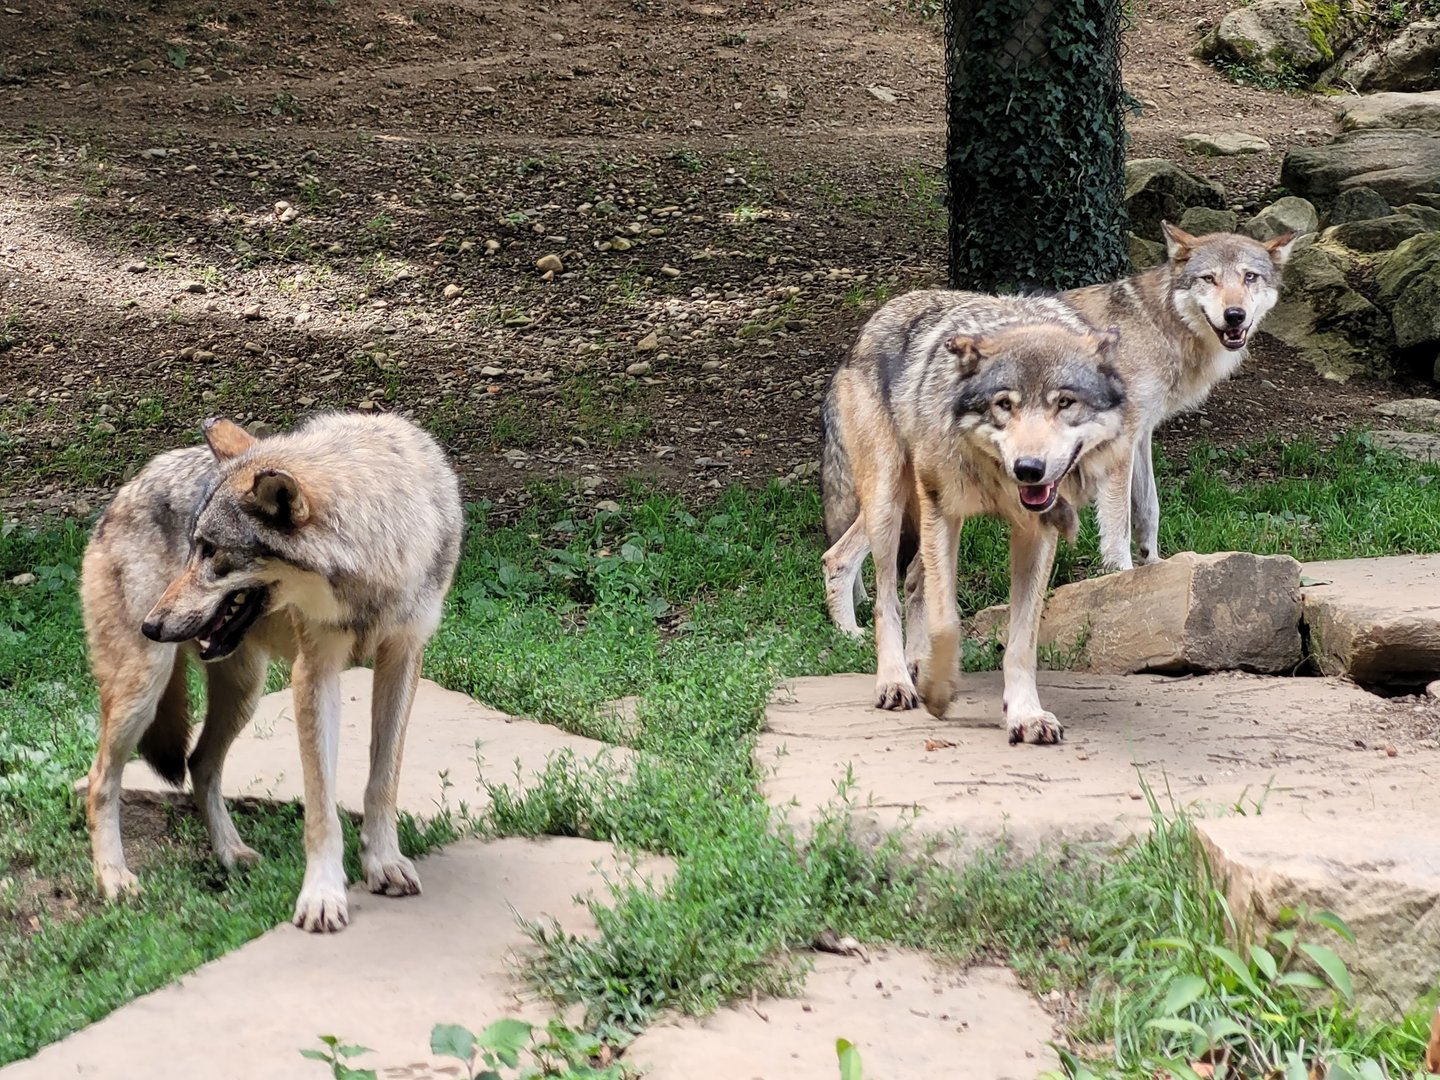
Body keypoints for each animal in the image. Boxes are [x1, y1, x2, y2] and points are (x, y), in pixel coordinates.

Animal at [81, 411, 463, 933]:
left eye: (210, 551)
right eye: (193, 547)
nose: (152, 626)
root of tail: (127, 488)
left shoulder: (403, 659)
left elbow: (383, 782)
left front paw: (384, 864)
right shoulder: (315, 673)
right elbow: (322, 807)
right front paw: (322, 896)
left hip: (244, 693)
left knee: (200, 765)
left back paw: (230, 854)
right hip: (143, 691)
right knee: (100, 778)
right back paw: (114, 879)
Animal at [821, 290, 1131, 743]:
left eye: (1065, 403)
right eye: (1004, 404)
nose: (1029, 468)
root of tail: (871, 323)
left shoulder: (1036, 533)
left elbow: (1021, 641)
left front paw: (1026, 715)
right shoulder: (941, 512)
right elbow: (946, 620)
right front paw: (937, 691)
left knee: (912, 580)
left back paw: (915, 662)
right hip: (887, 503)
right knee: (875, 590)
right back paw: (893, 678)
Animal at [822, 222, 1298, 636]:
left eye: (1250, 277)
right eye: (1209, 279)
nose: (1234, 315)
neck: (1158, 323)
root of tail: (864, 332)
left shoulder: (1140, 437)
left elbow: (1149, 511)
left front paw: (1156, 568)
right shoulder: (1120, 446)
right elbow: (1118, 527)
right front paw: (1122, 580)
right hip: (900, 485)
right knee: (835, 557)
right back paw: (850, 634)